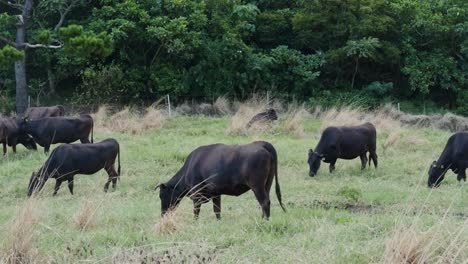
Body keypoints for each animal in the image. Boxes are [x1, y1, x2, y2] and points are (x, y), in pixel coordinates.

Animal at [154, 141, 286, 220]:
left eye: (161, 195)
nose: (163, 214)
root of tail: (261, 144)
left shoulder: (197, 195)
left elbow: (196, 211)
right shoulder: (216, 193)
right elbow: (217, 210)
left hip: (257, 186)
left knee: (264, 202)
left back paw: (265, 221)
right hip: (267, 184)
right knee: (265, 201)